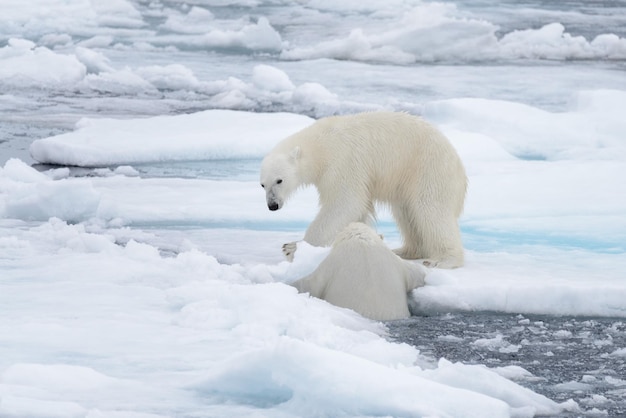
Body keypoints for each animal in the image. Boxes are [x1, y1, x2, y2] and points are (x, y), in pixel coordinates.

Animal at [260, 111, 468, 268]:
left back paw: (442, 260)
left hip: (428, 170)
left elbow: (346, 202)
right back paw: (405, 250)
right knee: (407, 214)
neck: (320, 146)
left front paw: (292, 248)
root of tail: (459, 168)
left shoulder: (342, 162)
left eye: (279, 180)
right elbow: (356, 211)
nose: (272, 205)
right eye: (262, 184)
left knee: (431, 210)